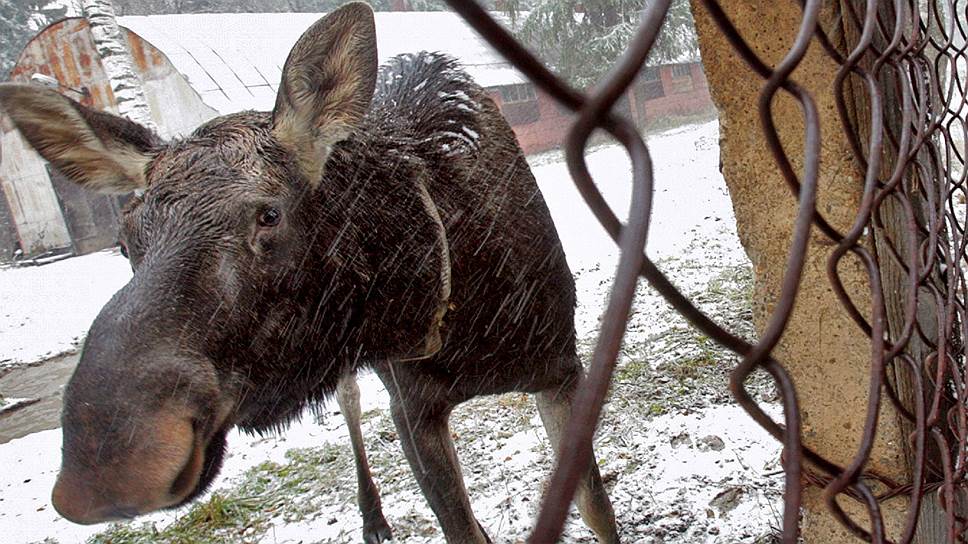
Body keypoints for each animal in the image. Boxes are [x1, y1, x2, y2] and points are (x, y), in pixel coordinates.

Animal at [0, 4, 620, 544]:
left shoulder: (561, 364)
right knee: (349, 405)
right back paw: (373, 518)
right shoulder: (411, 405)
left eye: (269, 214)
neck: (462, 314)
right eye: (125, 242)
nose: (108, 464)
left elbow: (596, 509)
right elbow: (462, 529)